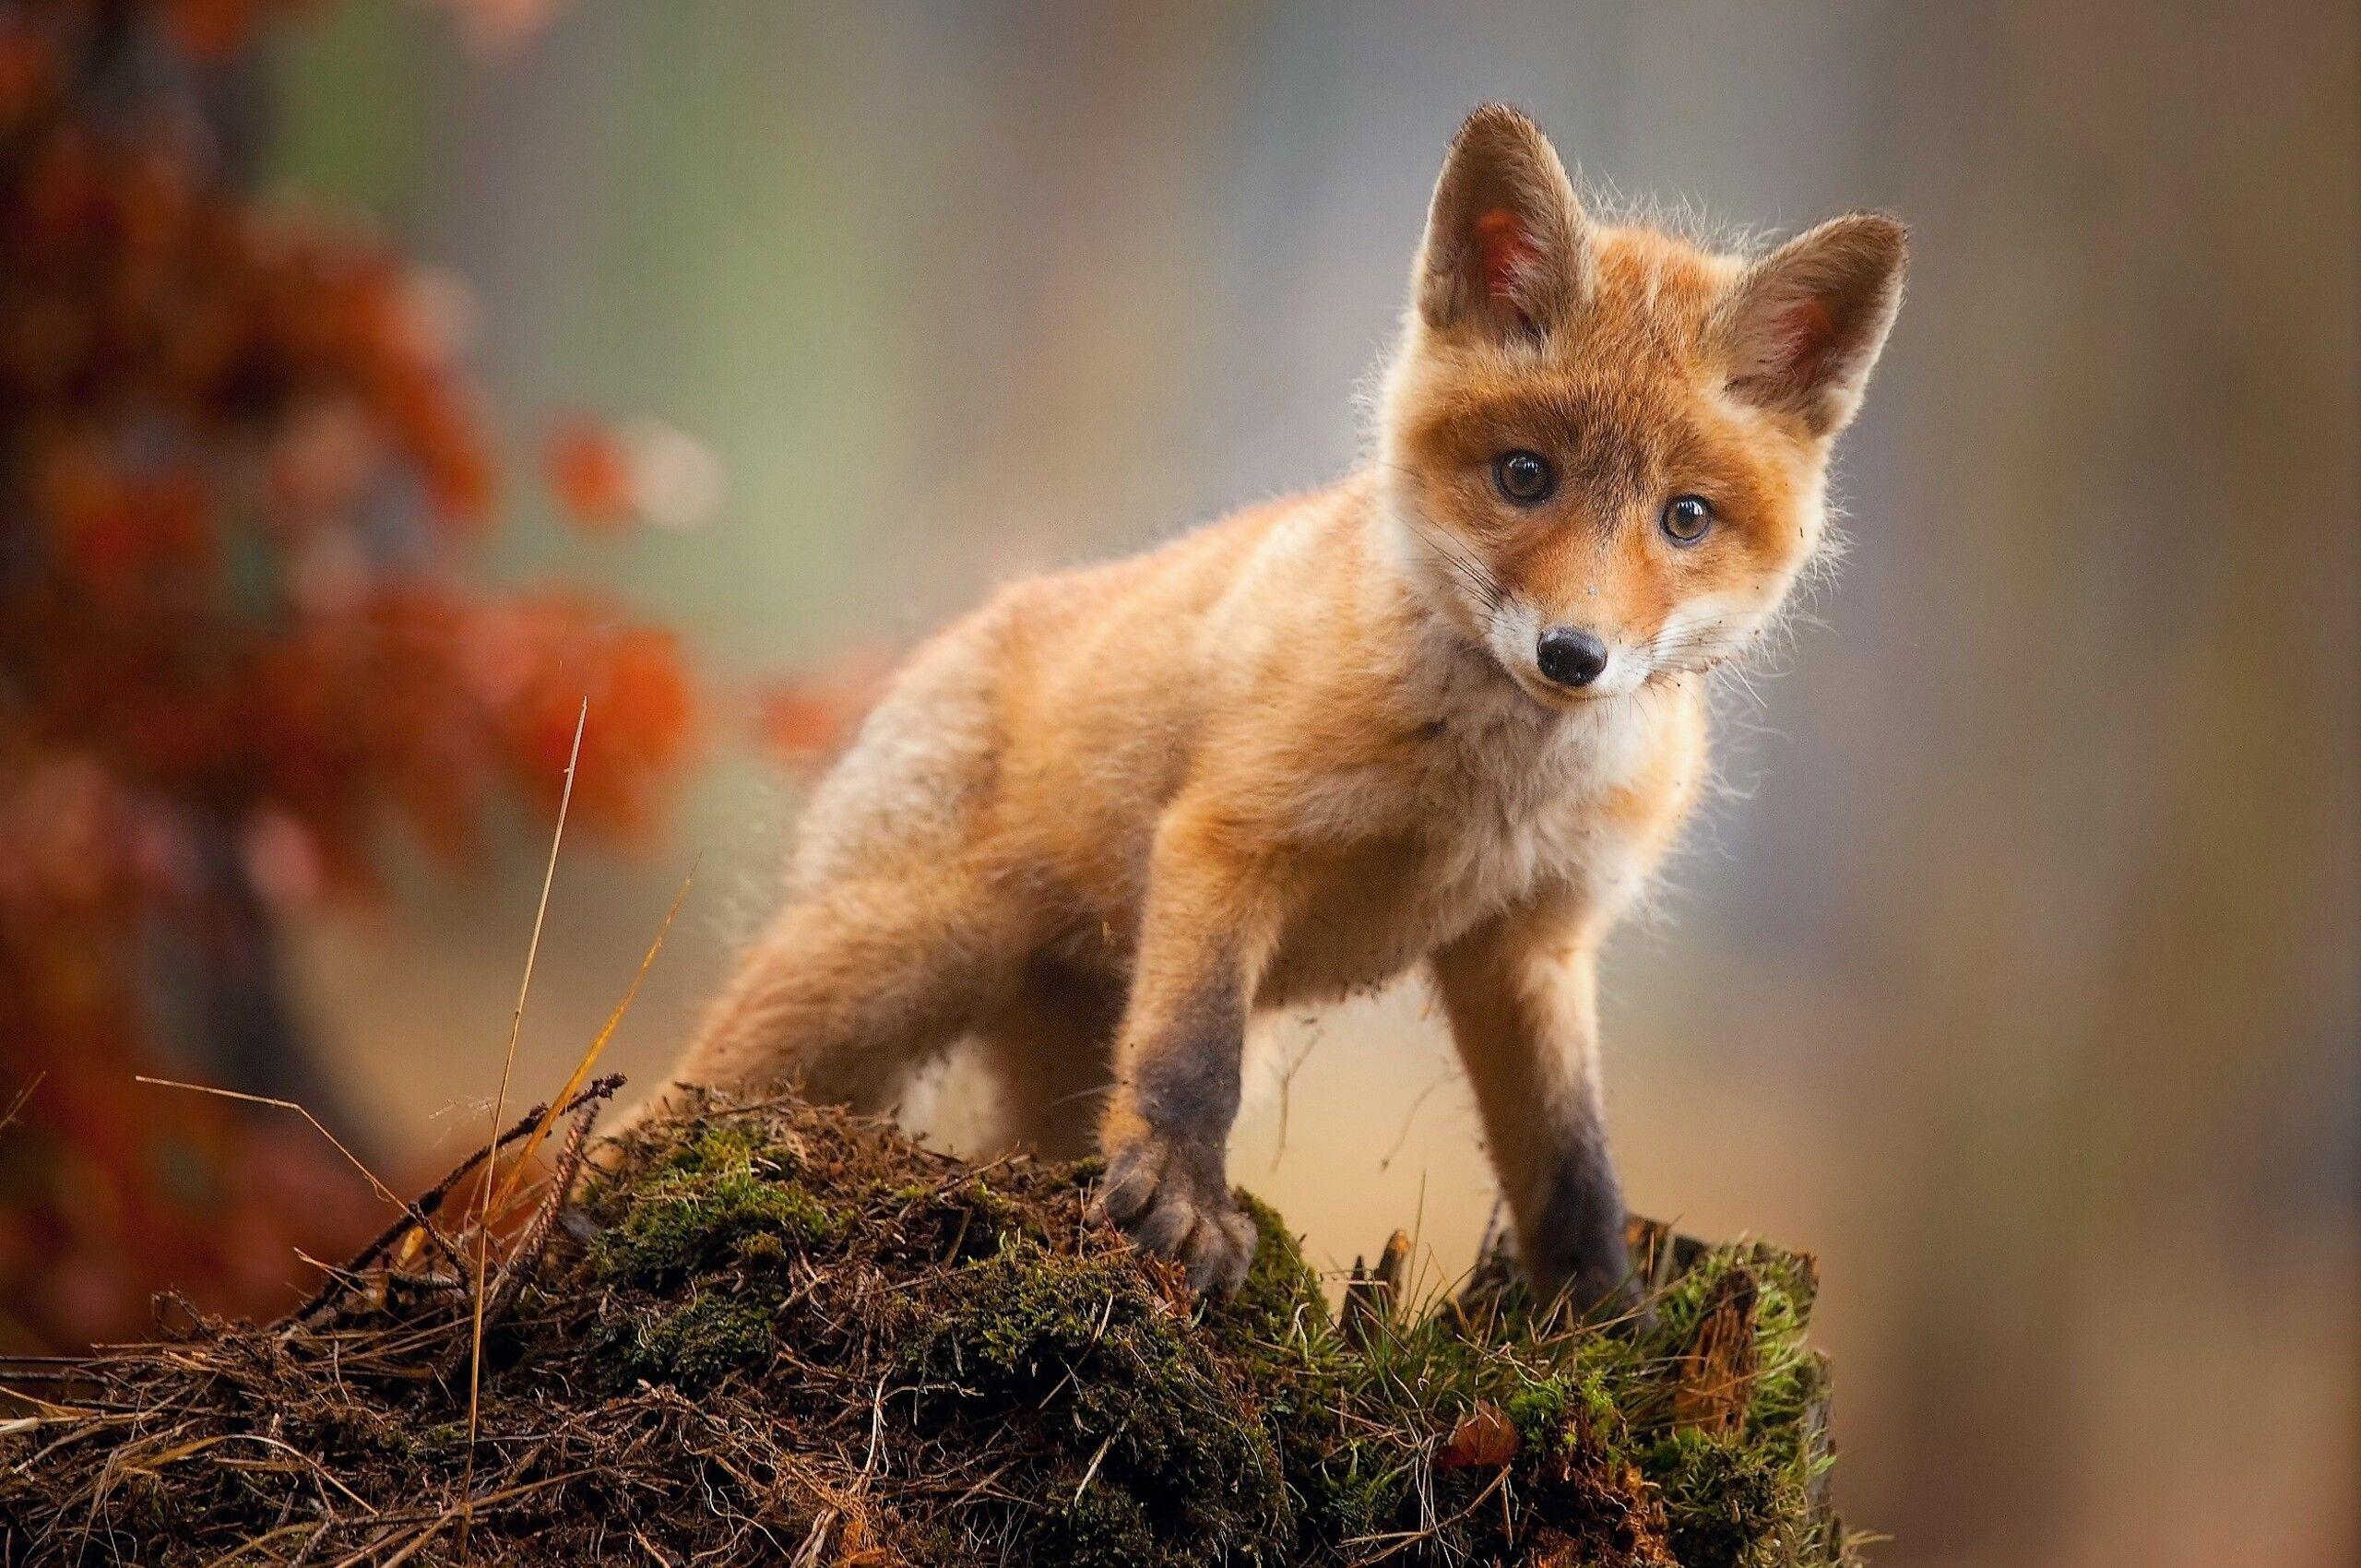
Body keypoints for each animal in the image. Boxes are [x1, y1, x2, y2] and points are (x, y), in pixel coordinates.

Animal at [623, 104, 1906, 1307]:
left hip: (1036, 1054)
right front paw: (1184, 1207)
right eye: (1524, 475)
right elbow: (1195, 1059)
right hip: (882, 969)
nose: (1572, 653)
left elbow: (1572, 1165)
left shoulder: (1530, 941)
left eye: (1685, 517)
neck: (1488, 790)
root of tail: (957, 634)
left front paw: (1603, 1321)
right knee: (667, 1102)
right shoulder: (1230, 837)